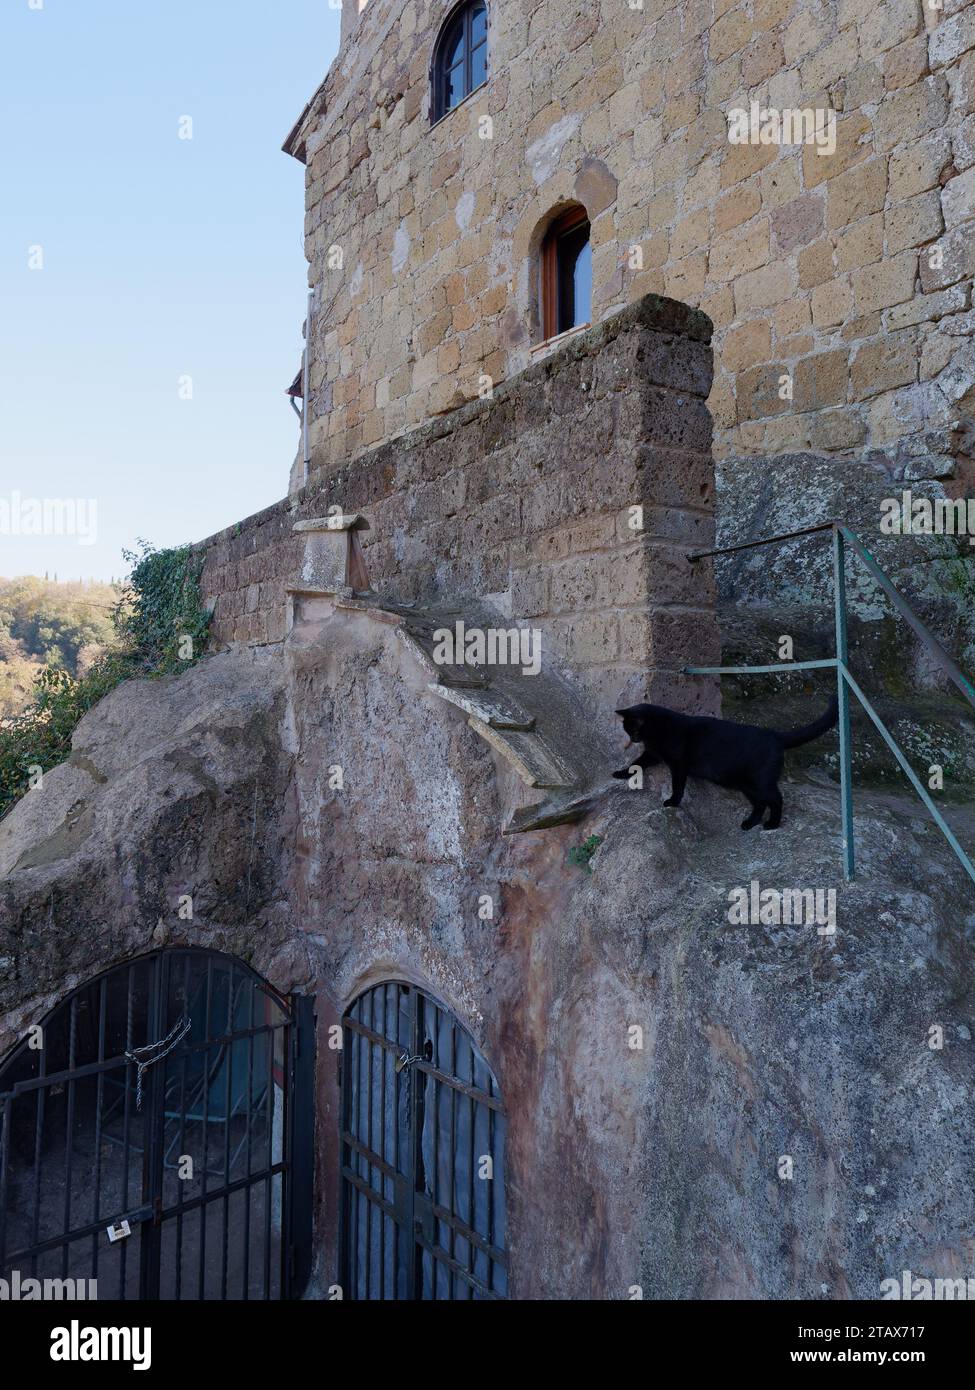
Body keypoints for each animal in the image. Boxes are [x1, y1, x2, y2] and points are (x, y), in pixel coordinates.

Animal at [614, 695, 834, 822]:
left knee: (776, 799)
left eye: (634, 730)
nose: (633, 739)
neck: (656, 731)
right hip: (746, 784)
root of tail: (774, 735)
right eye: (628, 731)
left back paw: (772, 825)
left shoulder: (678, 765)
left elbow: (678, 786)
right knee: (760, 803)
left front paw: (673, 802)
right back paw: (750, 823)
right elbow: (636, 764)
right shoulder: (652, 754)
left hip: (761, 781)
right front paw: (620, 773)